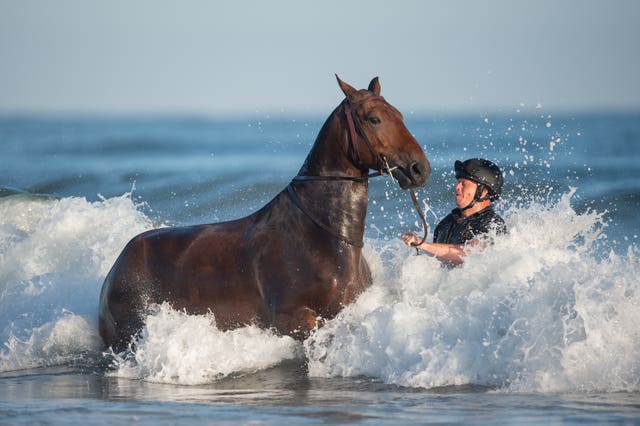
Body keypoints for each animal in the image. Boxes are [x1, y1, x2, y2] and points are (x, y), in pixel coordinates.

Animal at [99, 75, 430, 350]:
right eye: (374, 119)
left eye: (399, 115)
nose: (419, 169)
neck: (322, 235)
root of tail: (115, 269)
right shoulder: (290, 319)